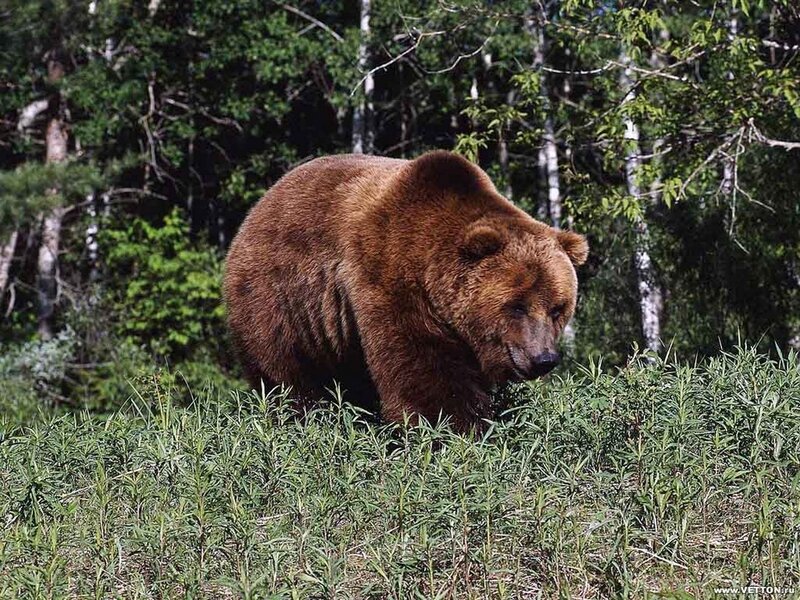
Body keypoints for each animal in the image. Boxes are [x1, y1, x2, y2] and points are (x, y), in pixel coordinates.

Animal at [223, 150, 588, 433]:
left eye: (558, 308)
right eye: (516, 306)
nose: (543, 359)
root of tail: (258, 207)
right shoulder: (390, 279)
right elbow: (423, 371)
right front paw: (455, 430)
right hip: (279, 300)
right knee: (286, 373)